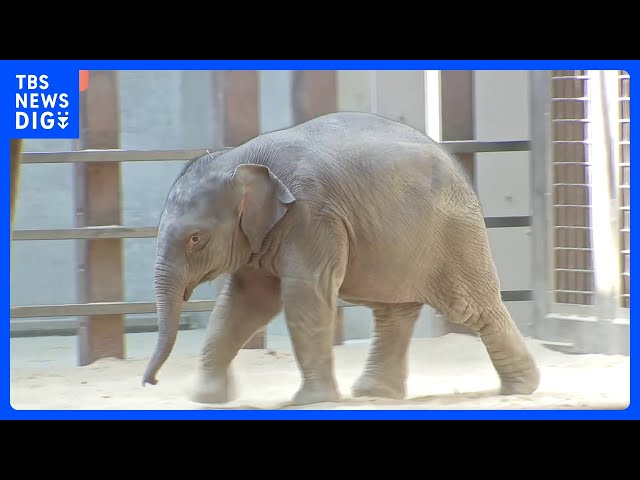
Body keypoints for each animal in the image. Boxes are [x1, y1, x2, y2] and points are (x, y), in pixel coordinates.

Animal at [142, 111, 541, 406]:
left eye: (196, 239)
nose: (151, 383)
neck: (240, 158)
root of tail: (458, 166)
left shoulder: (311, 215)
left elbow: (302, 293)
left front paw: (311, 402)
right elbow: (246, 301)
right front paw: (204, 398)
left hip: (453, 233)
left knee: (470, 307)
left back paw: (521, 388)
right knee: (393, 311)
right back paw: (375, 395)